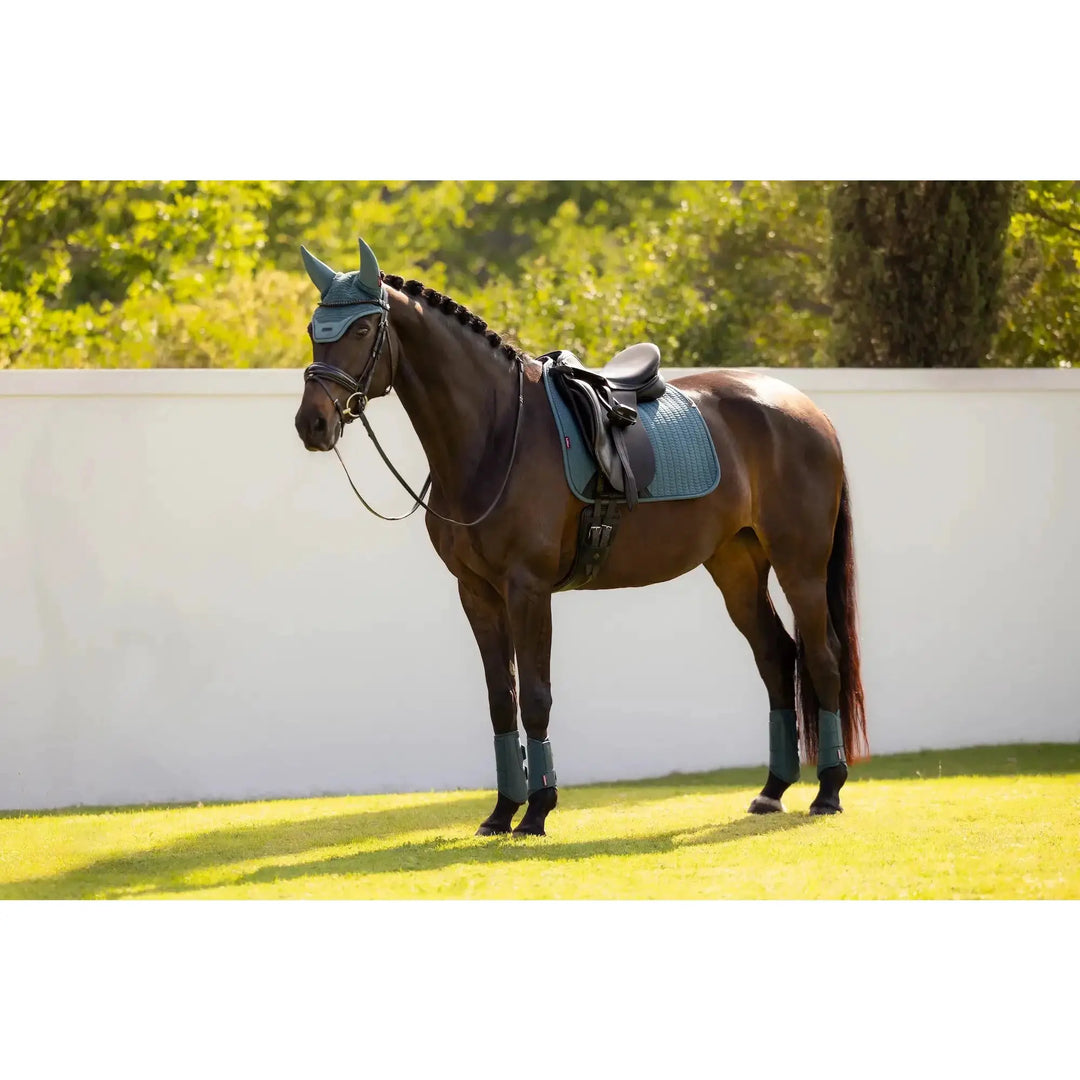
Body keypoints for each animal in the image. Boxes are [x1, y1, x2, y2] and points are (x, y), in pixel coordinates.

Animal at [293, 238, 868, 836]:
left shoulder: (527, 589)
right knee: (776, 656)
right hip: (736, 565)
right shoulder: (476, 592)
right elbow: (502, 699)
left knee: (822, 656)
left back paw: (828, 790)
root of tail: (807, 410)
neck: (497, 434)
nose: (312, 423)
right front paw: (501, 812)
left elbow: (535, 698)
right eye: (315, 328)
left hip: (800, 565)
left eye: (362, 328)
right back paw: (773, 790)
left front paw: (537, 810)